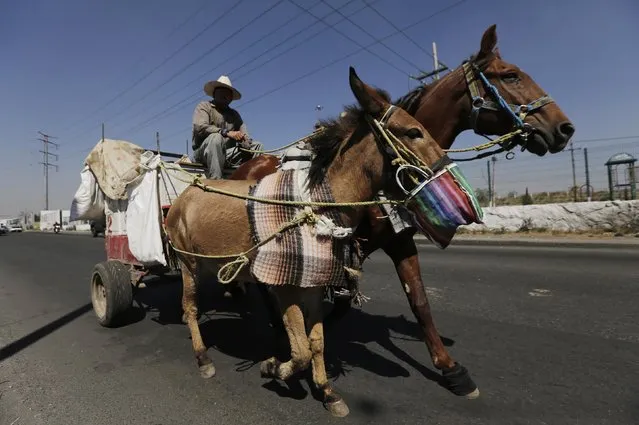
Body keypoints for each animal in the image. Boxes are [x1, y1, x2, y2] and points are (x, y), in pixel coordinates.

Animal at [165, 66, 480, 414]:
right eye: (413, 132)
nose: (454, 180)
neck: (316, 206)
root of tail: (187, 192)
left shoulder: (315, 283)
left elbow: (315, 342)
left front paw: (326, 390)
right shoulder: (286, 284)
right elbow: (301, 350)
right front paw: (273, 366)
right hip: (189, 264)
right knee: (190, 308)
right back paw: (203, 357)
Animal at [229, 24, 576, 396]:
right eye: (510, 75)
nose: (564, 129)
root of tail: (244, 166)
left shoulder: (399, 240)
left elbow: (417, 298)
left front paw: (451, 368)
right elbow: (338, 300)